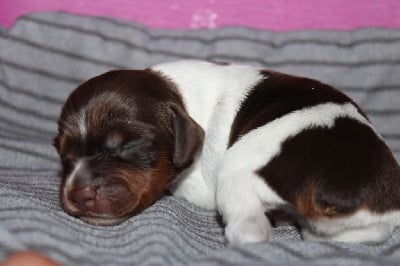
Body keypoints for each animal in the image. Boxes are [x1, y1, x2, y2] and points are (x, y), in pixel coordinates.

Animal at [54, 60, 400, 245]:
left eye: (128, 145)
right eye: (64, 154)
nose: (79, 193)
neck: (179, 97)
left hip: (238, 167)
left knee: (250, 230)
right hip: (371, 219)